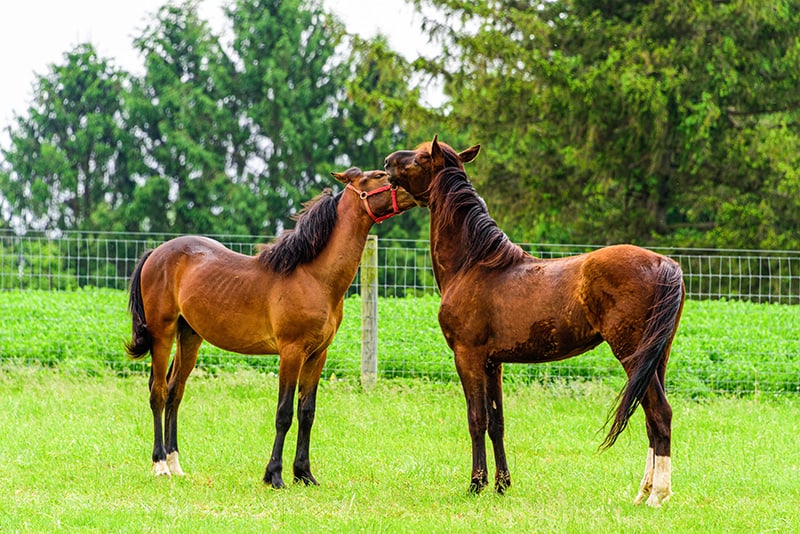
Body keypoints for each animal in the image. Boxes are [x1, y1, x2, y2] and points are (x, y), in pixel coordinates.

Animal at [126, 169, 416, 490]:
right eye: (378, 175)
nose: (413, 190)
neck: (313, 276)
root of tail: (156, 253)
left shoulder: (317, 355)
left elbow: (307, 412)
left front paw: (304, 474)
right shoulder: (291, 352)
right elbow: (284, 413)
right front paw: (274, 475)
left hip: (190, 336)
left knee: (175, 392)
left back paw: (176, 464)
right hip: (162, 334)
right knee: (158, 392)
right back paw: (160, 464)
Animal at [384, 137, 684, 506]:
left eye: (420, 158)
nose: (387, 162)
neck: (475, 264)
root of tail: (664, 263)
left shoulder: (467, 357)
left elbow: (476, 419)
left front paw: (476, 484)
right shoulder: (493, 363)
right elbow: (496, 422)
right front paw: (502, 485)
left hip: (631, 354)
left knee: (660, 415)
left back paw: (657, 496)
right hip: (654, 359)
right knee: (651, 420)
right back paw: (643, 493)